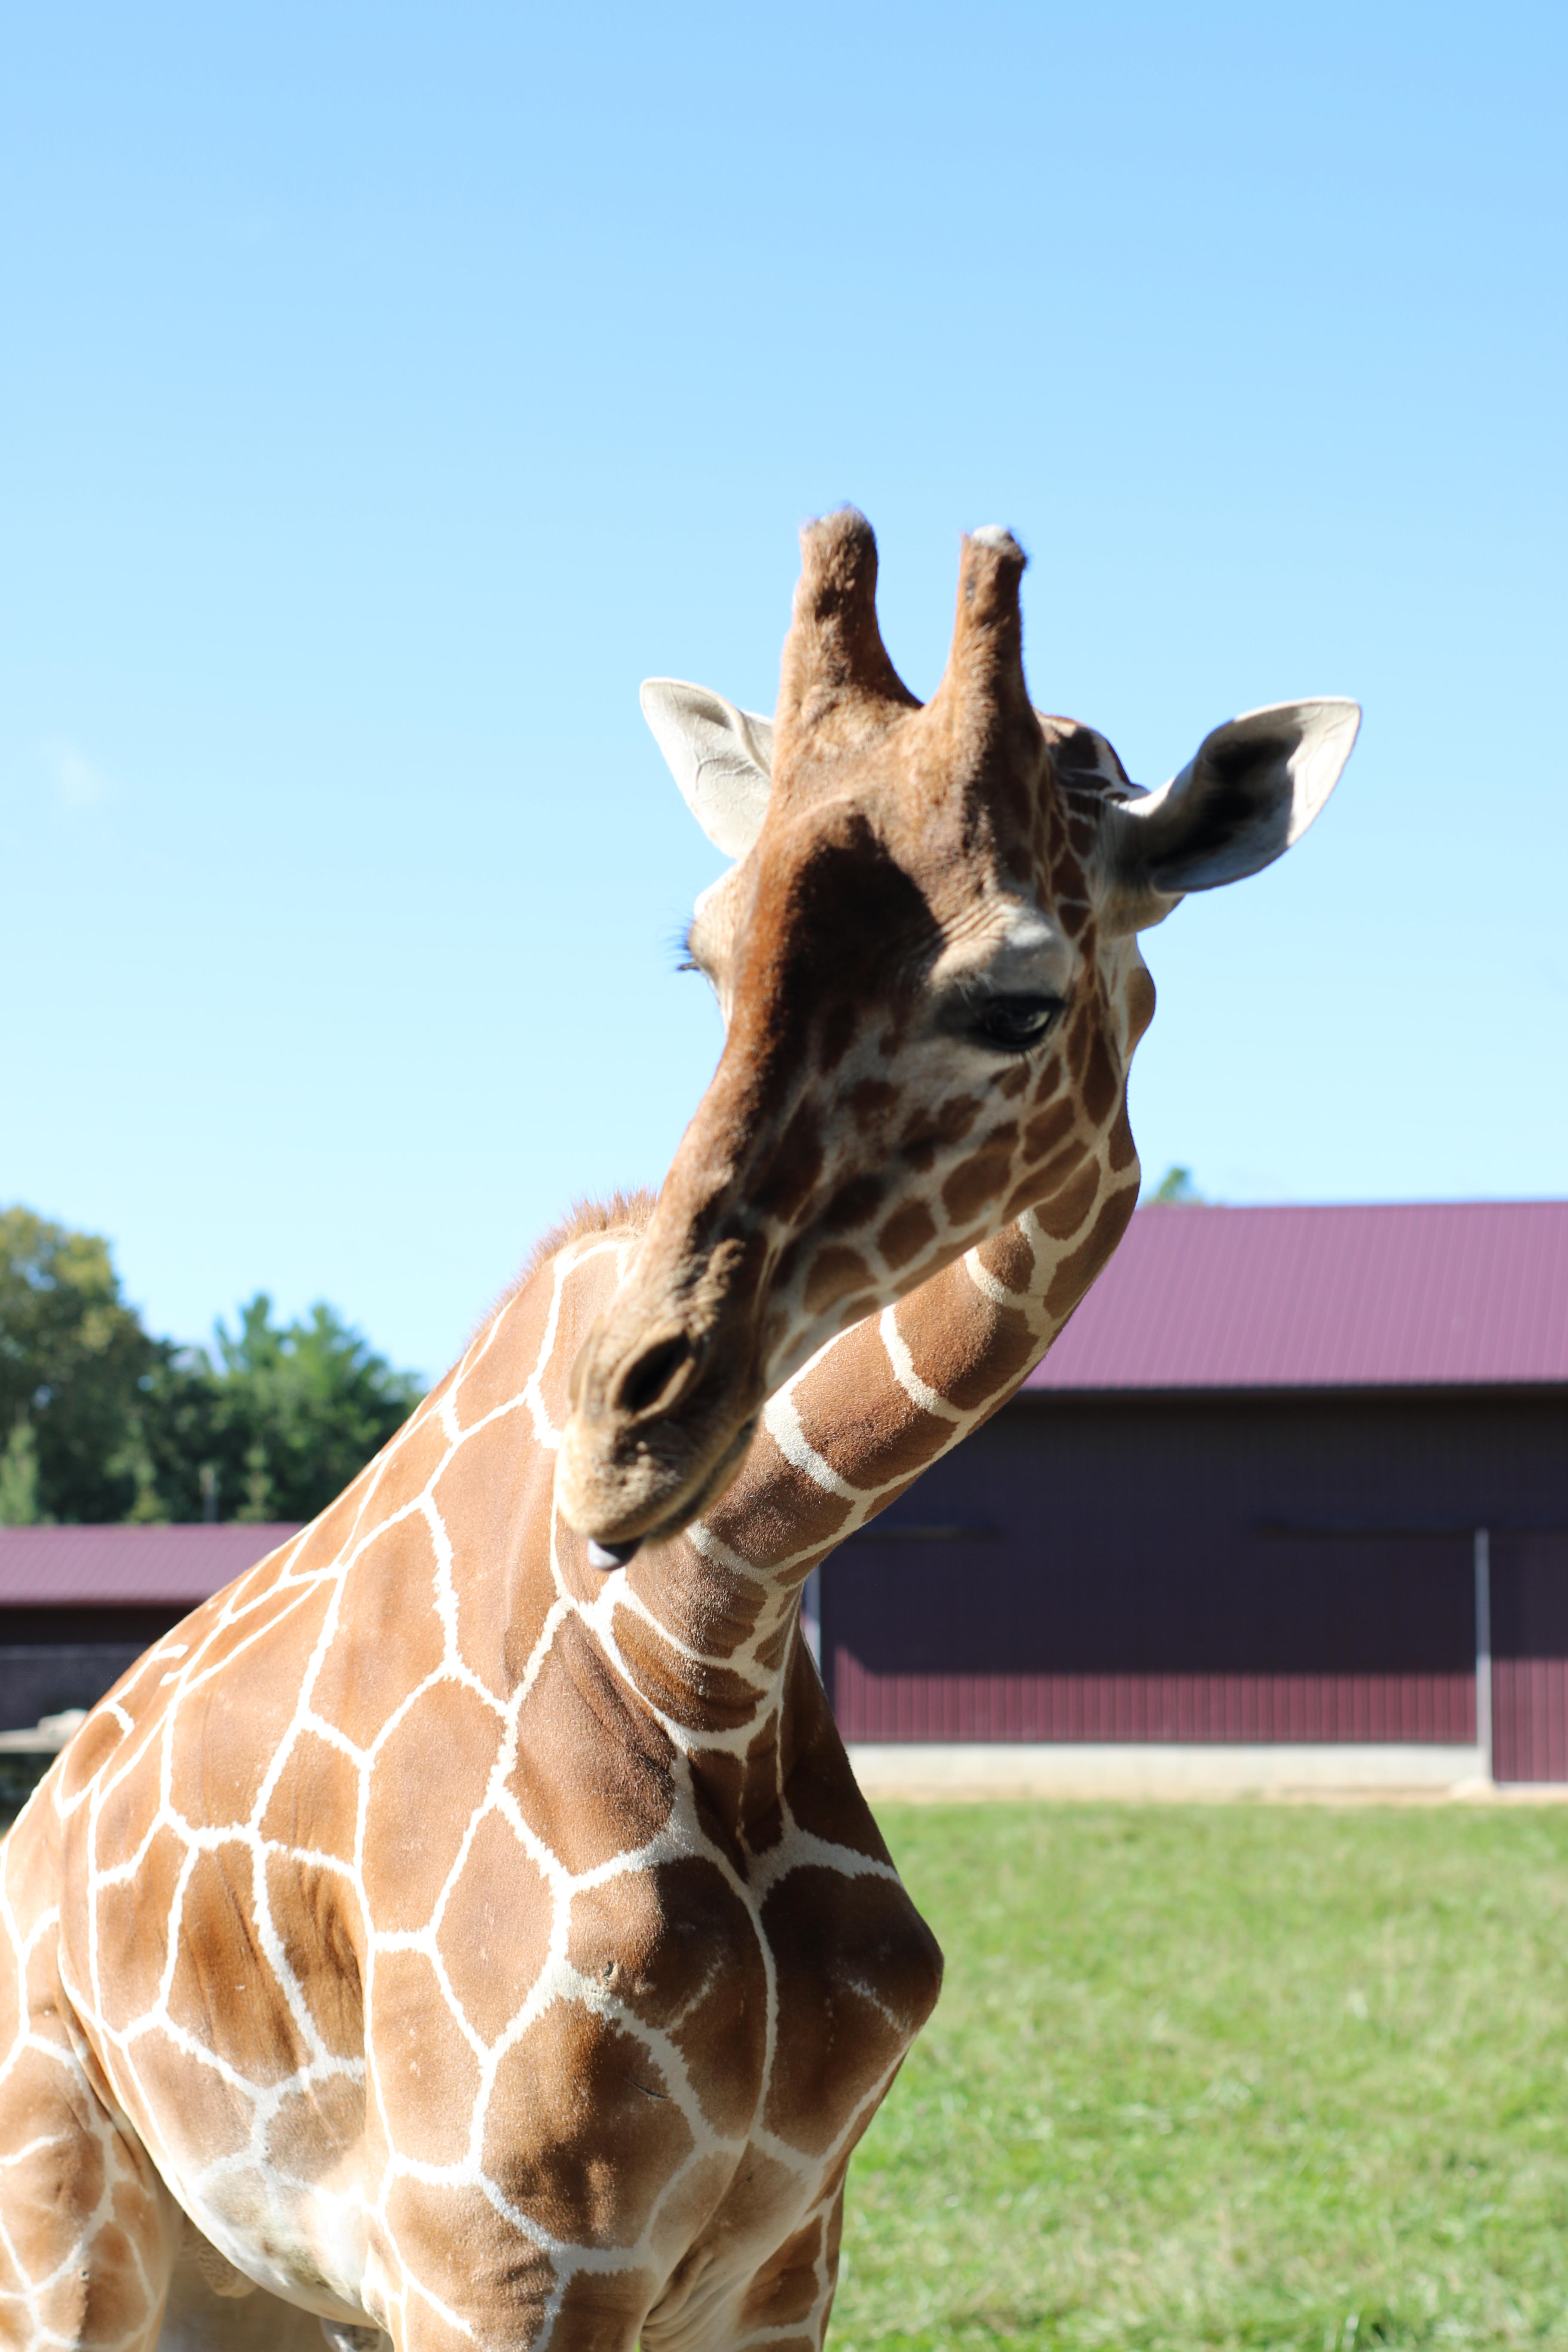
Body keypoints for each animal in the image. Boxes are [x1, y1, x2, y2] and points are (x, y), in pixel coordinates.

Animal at [0, 511, 1357, 2352]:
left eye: (1017, 998)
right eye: (699, 953)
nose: (623, 1433)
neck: (712, 1624)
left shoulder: (781, 2255)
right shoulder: (498, 2248)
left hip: (251, 2285)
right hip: (66, 2213)